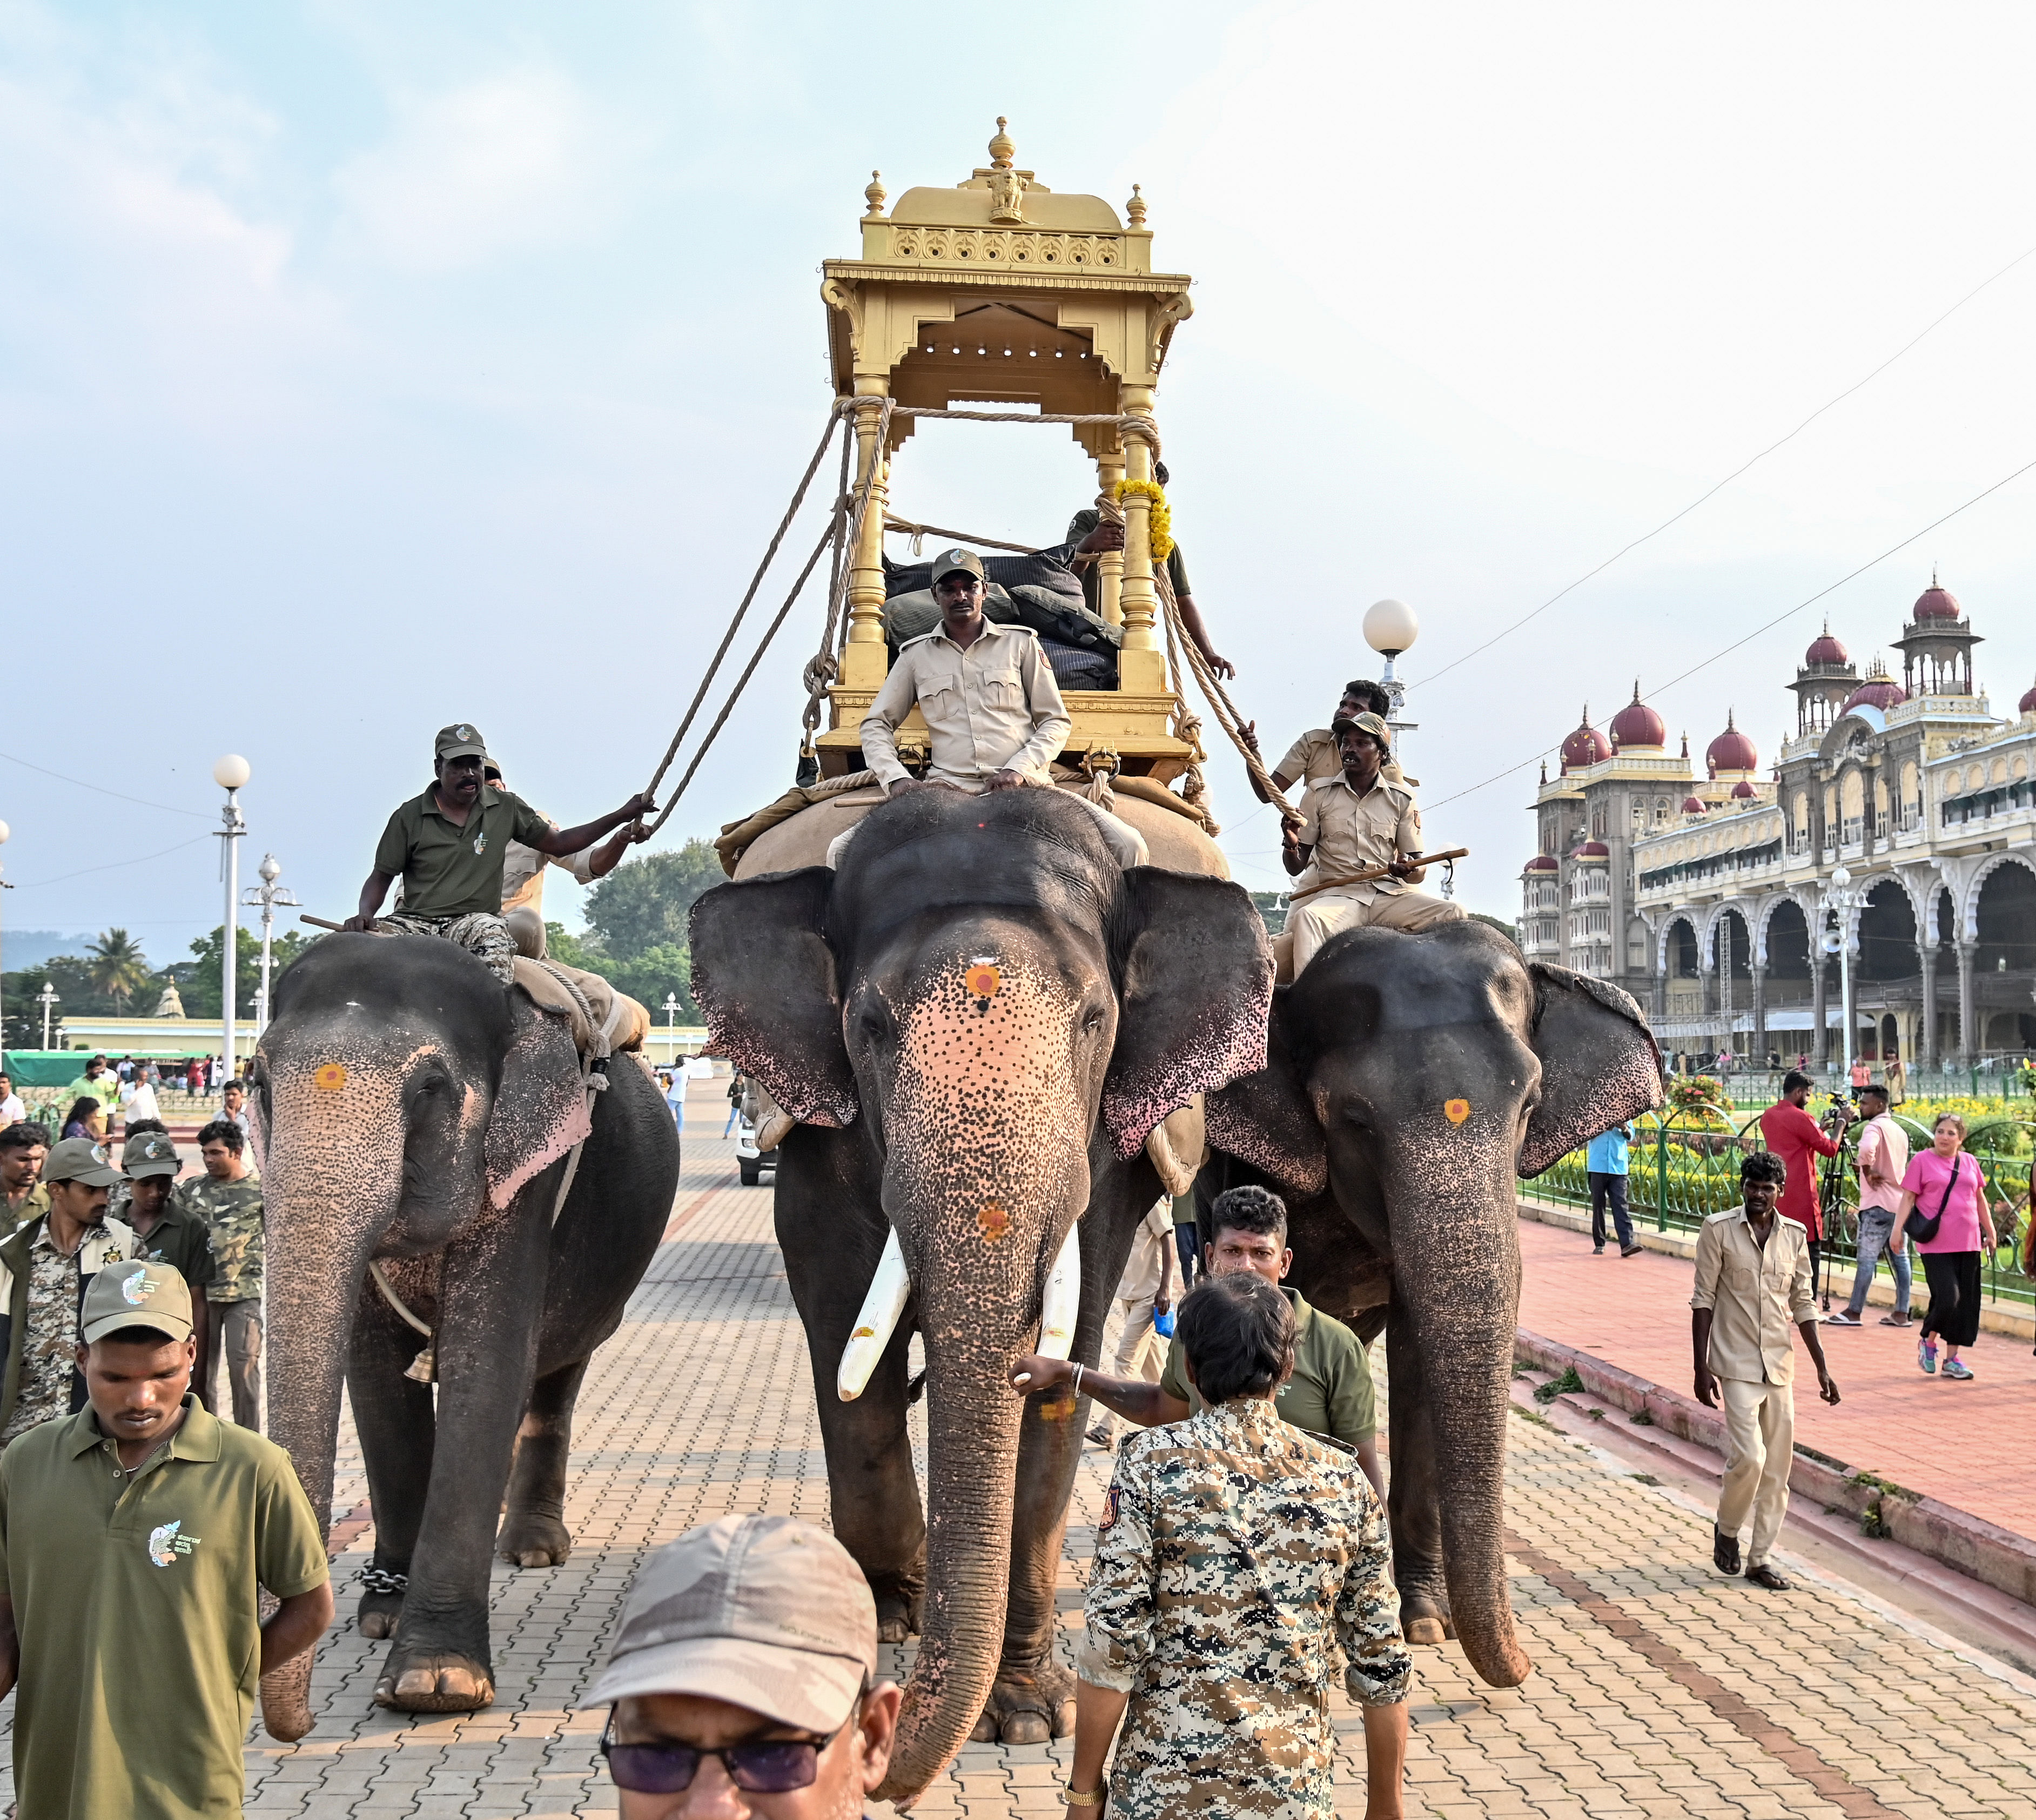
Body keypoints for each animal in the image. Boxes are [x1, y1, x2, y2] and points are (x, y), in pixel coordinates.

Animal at [249, 941, 680, 1742]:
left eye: (429, 1088)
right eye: (256, 1082)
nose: (299, 1725)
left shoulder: (527, 1173)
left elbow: (488, 1364)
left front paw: (436, 1683)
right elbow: (375, 1380)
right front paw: (384, 1615)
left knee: (556, 1374)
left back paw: (533, 1549)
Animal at [700, 785, 1270, 1808]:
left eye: (1094, 1017)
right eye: (869, 1022)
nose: (872, 1745)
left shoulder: (1108, 1145)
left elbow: (1076, 1333)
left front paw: (1027, 1717)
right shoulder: (817, 1125)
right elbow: (841, 1321)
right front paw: (888, 1612)